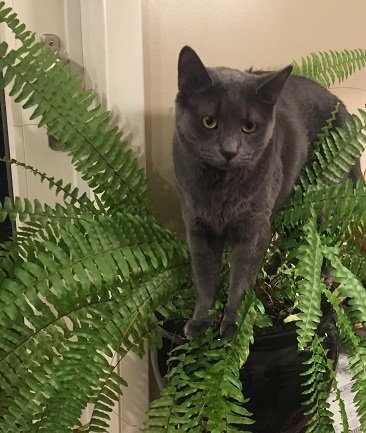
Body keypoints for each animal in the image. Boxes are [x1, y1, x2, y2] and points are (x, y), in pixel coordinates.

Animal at [173, 46, 362, 338]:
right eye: (209, 122)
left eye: (249, 126)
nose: (229, 150)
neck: (220, 188)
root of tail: (345, 110)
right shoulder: (197, 228)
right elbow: (203, 280)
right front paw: (200, 322)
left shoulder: (252, 229)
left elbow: (241, 282)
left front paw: (233, 327)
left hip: (324, 201)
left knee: (328, 242)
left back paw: (325, 280)